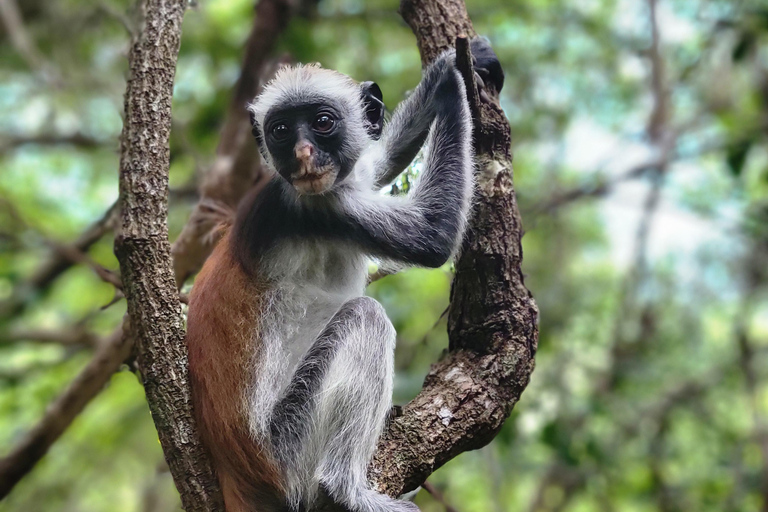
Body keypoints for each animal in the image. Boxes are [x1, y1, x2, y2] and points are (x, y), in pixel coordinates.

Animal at [188, 37, 504, 512]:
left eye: (322, 123)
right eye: (282, 131)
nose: (302, 154)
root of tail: (237, 476)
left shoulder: (341, 182)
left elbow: (378, 160)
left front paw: (461, 63)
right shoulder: (313, 208)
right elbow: (433, 234)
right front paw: (453, 77)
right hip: (288, 447)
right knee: (366, 317)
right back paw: (343, 490)